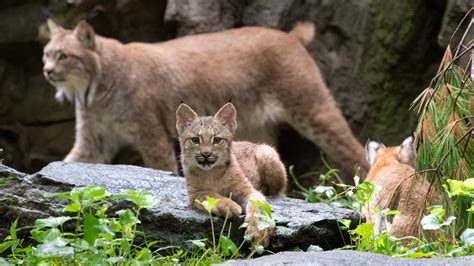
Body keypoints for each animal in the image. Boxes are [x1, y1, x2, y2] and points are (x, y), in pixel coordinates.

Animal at [174, 102, 286, 247]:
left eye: (217, 140)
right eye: (195, 140)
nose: (206, 154)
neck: (212, 172)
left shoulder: (249, 190)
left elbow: (258, 206)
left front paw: (259, 231)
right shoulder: (195, 194)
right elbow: (212, 195)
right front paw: (229, 205)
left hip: (268, 155)